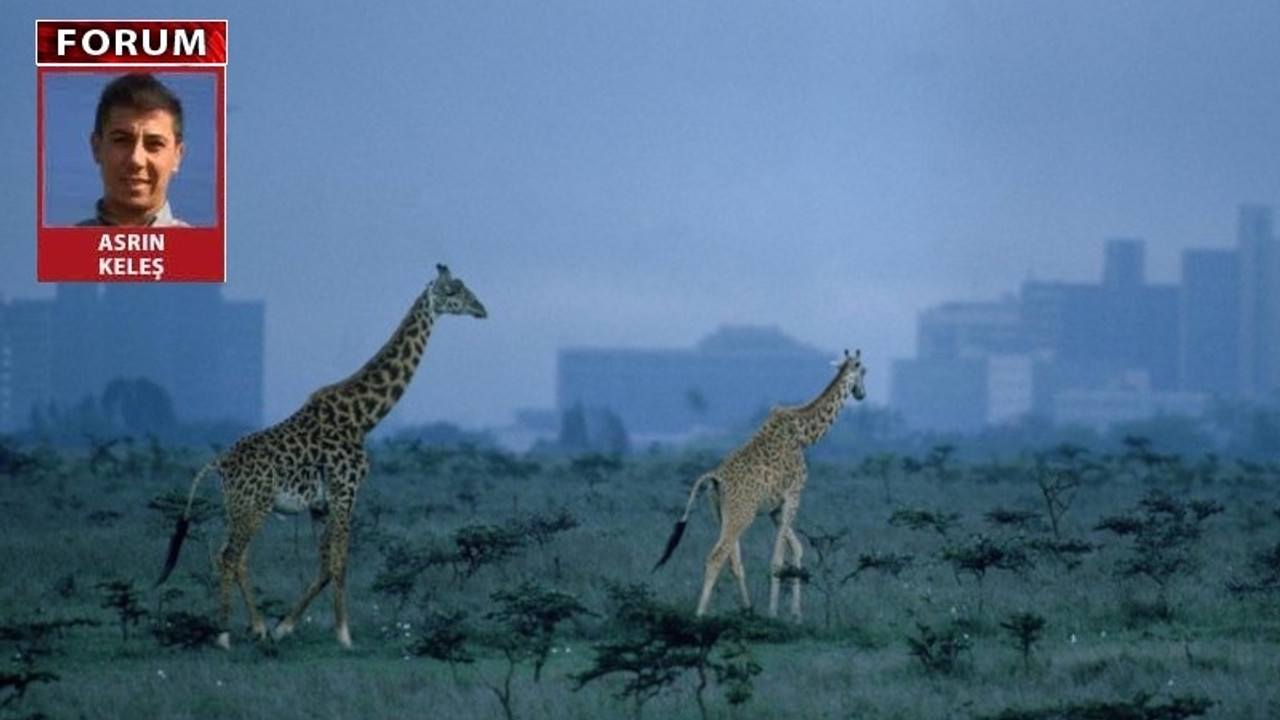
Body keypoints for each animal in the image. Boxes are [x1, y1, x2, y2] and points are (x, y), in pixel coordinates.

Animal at [154, 262, 483, 645]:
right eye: (454, 291)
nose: (481, 309)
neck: (362, 418)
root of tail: (219, 463)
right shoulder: (346, 492)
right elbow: (340, 562)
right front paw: (343, 635)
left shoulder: (321, 505)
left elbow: (325, 565)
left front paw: (285, 626)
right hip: (253, 505)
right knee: (229, 556)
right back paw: (224, 636)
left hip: (239, 506)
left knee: (237, 558)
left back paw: (258, 627)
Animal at [655, 348, 865, 617]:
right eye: (864, 371)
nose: (861, 393)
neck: (804, 434)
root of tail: (714, 478)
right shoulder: (793, 496)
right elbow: (778, 558)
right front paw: (775, 613)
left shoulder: (775, 509)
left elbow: (796, 549)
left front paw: (796, 615)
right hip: (742, 514)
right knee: (716, 557)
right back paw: (700, 615)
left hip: (722, 514)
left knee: (733, 561)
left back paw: (748, 610)